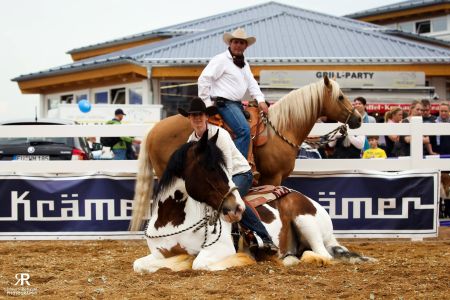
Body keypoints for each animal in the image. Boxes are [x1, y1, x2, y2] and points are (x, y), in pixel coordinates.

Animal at [132, 131, 255, 272]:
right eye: (211, 168)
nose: (238, 208)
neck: (171, 221)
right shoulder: (159, 254)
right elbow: (138, 263)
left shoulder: (222, 248)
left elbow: (197, 263)